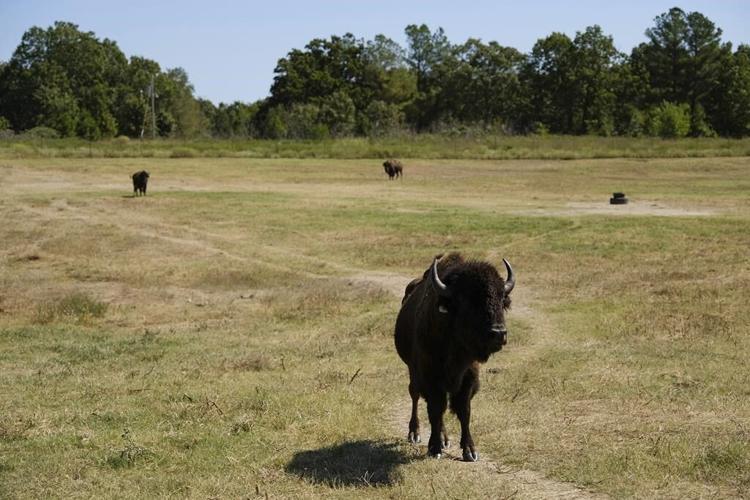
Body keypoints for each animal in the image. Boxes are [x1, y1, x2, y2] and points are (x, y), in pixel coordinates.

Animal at [394, 252, 515, 461]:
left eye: (502, 299)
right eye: (468, 300)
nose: (499, 333)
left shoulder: (468, 377)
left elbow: (463, 410)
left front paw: (470, 451)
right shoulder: (430, 376)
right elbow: (435, 409)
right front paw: (434, 448)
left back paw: (444, 439)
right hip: (413, 371)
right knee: (415, 395)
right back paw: (415, 434)